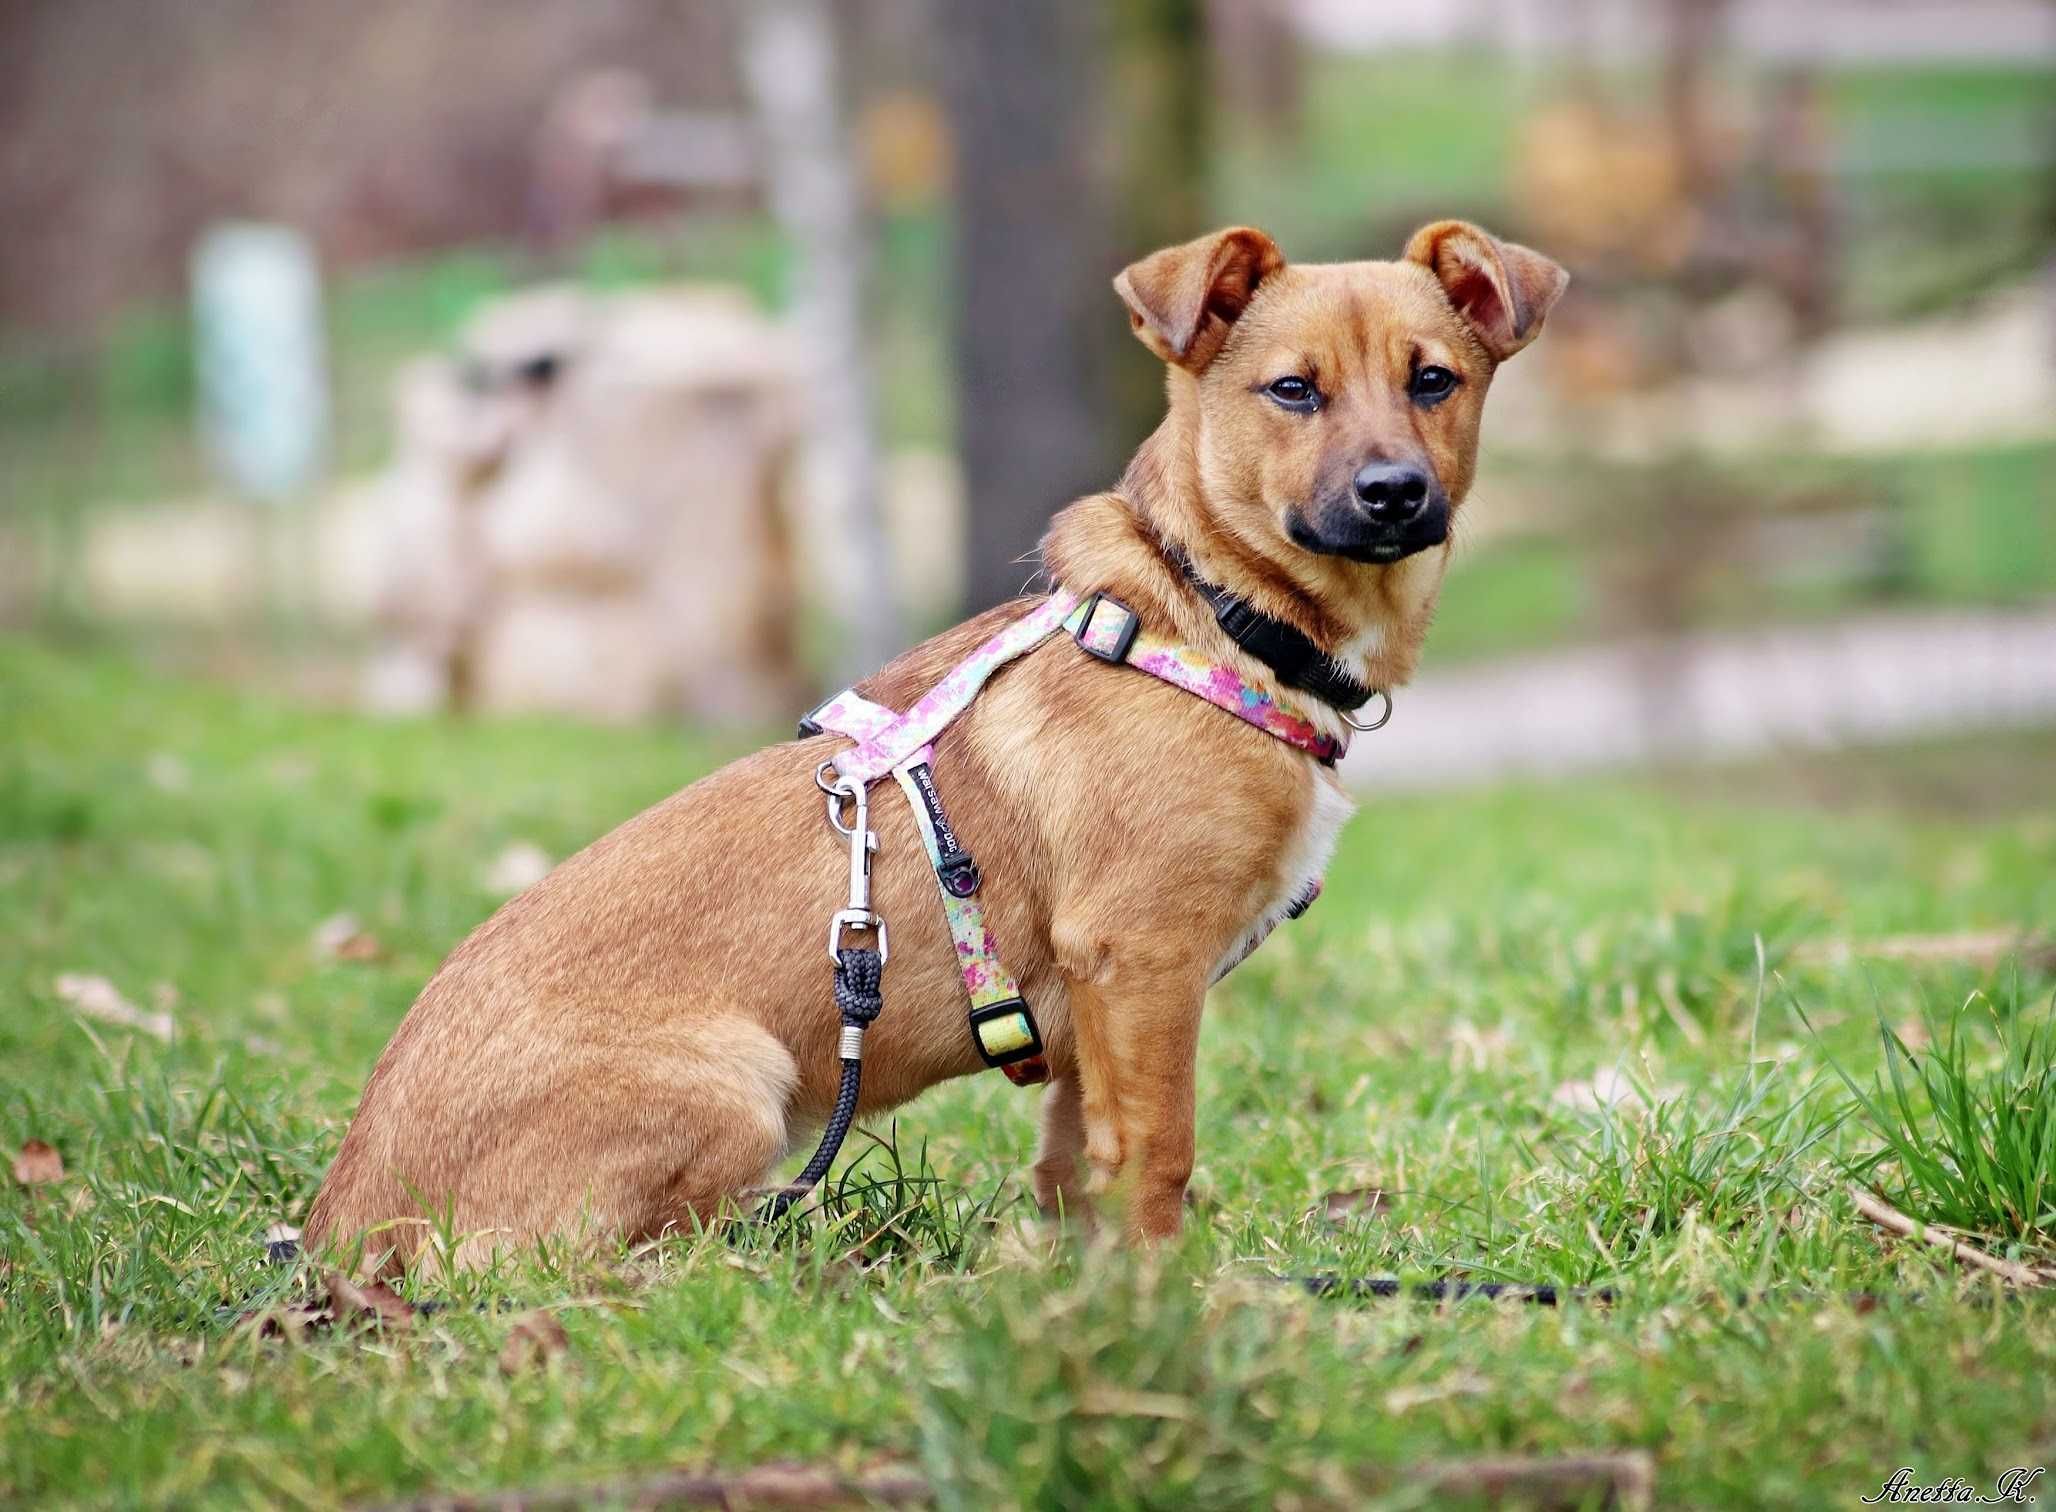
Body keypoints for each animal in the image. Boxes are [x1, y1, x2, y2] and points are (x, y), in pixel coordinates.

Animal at [304, 219, 1562, 1275]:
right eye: (1292, 391)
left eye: (1434, 381)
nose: (1393, 494)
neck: (1215, 619)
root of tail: (343, 1228)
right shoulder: (1143, 961)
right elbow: (1159, 1152)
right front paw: (1170, 1301)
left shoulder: (1094, 1008)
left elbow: (1077, 1165)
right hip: (739, 1086)